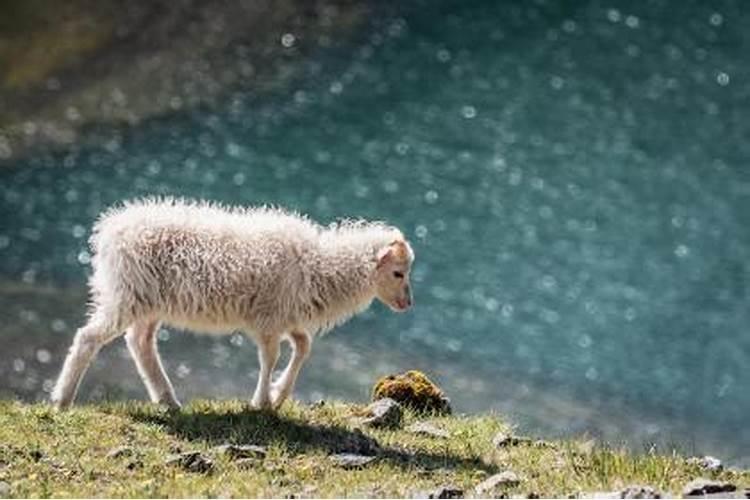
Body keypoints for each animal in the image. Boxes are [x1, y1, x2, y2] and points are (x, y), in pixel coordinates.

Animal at [51, 198, 418, 410]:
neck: (318, 265)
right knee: (88, 338)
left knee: (140, 342)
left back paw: (167, 399)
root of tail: (110, 229)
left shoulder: (286, 317)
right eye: (398, 272)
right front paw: (261, 401)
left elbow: (303, 347)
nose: (409, 303)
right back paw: (62, 399)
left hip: (148, 302)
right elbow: (271, 357)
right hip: (127, 294)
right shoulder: (268, 320)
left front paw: (278, 395)